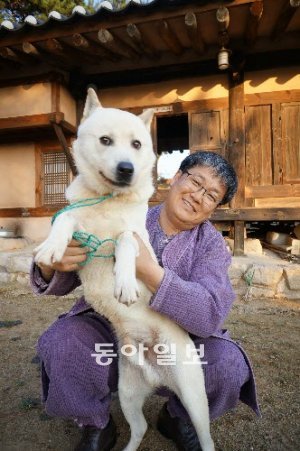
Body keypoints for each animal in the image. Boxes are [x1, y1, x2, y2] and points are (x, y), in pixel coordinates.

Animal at [34, 89, 214, 451]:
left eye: (136, 144)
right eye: (105, 140)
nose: (127, 168)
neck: (108, 200)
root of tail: (156, 375)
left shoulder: (132, 234)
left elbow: (126, 242)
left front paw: (126, 283)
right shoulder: (77, 222)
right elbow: (64, 219)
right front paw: (51, 247)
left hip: (194, 398)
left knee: (204, 434)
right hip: (128, 394)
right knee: (140, 428)